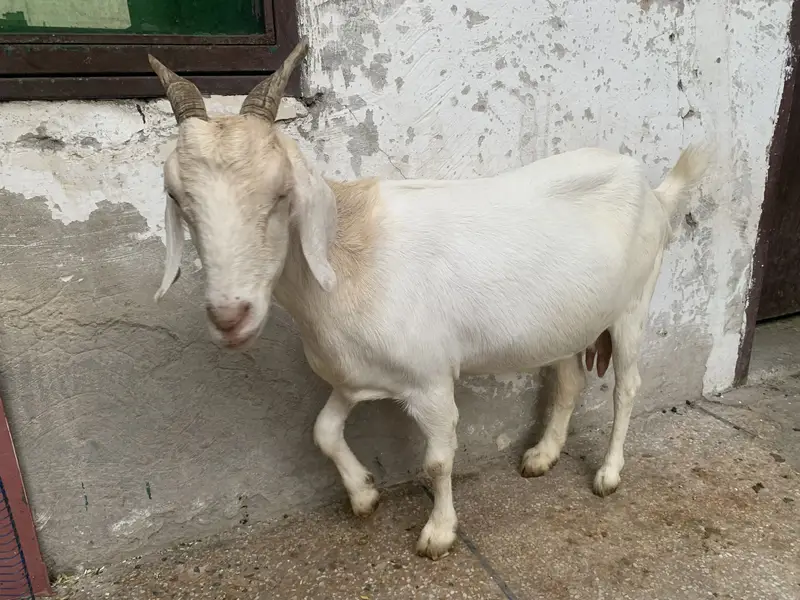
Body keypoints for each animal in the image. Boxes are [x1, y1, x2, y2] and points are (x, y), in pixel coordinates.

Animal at [147, 40, 709, 560]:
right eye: (177, 198)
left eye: (281, 194)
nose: (229, 317)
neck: (347, 258)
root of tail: (654, 192)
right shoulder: (357, 376)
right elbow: (323, 431)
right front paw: (364, 495)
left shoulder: (431, 380)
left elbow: (437, 461)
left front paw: (438, 533)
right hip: (568, 320)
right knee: (569, 380)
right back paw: (542, 456)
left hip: (634, 304)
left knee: (628, 386)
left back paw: (609, 474)